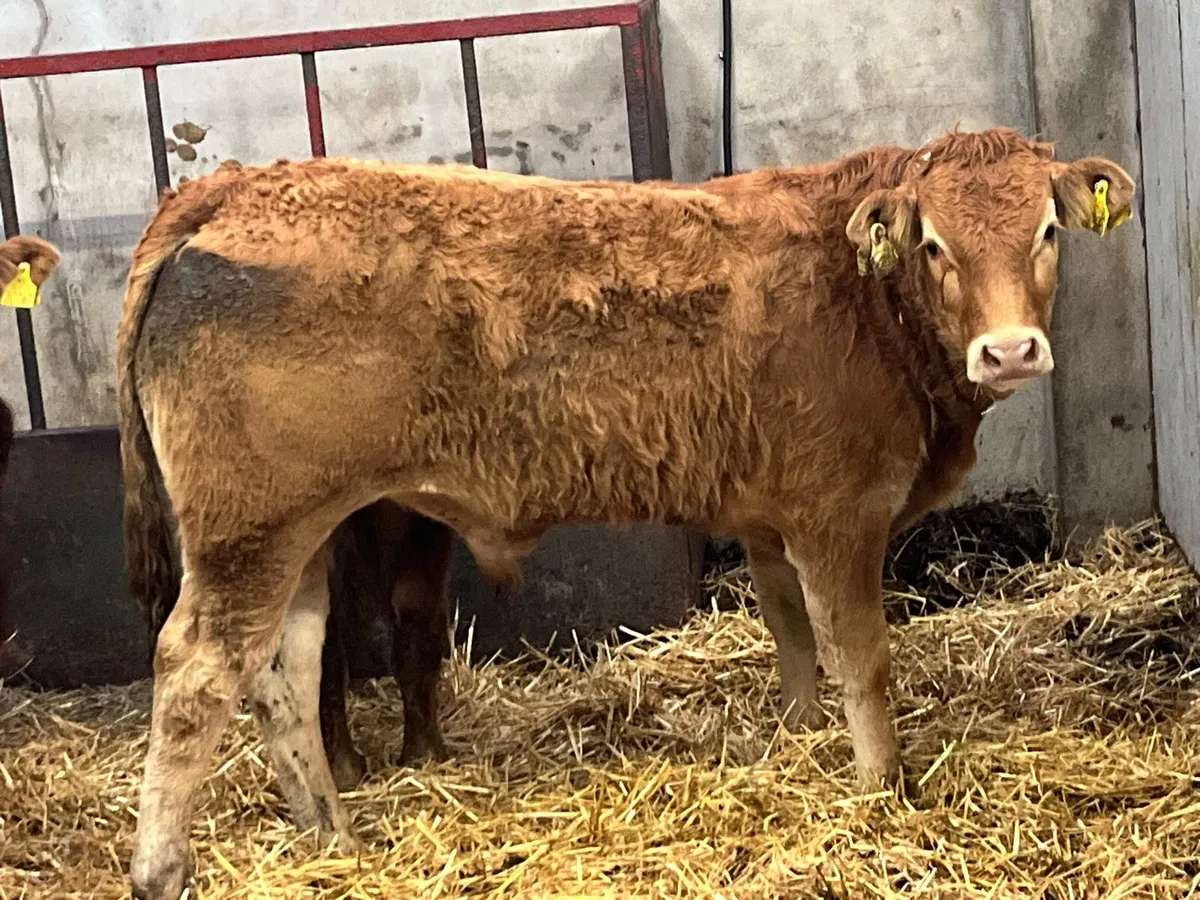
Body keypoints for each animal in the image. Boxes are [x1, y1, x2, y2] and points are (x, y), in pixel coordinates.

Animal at [117, 127, 1135, 899]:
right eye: (933, 246)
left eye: (1048, 229)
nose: (1010, 351)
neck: (861, 296)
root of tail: (235, 185)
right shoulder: (838, 516)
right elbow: (861, 658)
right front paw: (886, 787)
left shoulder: (770, 519)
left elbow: (789, 632)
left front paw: (799, 736)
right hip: (252, 532)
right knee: (197, 673)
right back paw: (163, 869)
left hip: (301, 537)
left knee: (283, 672)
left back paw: (332, 834)